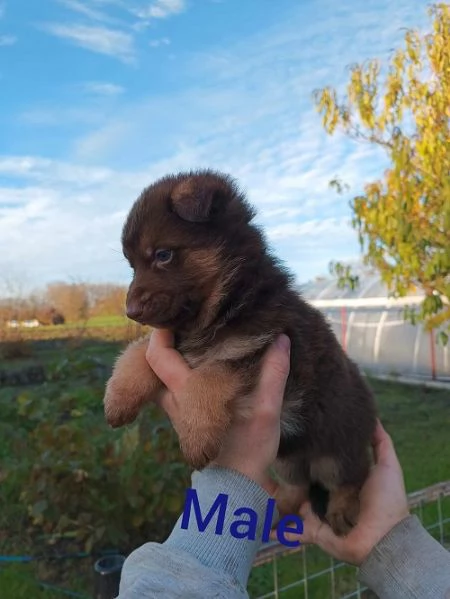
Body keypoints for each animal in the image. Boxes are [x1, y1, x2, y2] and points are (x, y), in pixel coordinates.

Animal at [103, 171, 378, 536]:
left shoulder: (255, 349)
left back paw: (342, 512)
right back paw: (276, 510)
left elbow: (208, 377)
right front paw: (118, 399)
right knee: (297, 486)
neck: (226, 306)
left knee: (350, 478)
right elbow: (138, 352)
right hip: (287, 457)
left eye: (162, 255)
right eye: (132, 265)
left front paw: (196, 438)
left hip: (337, 448)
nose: (131, 312)